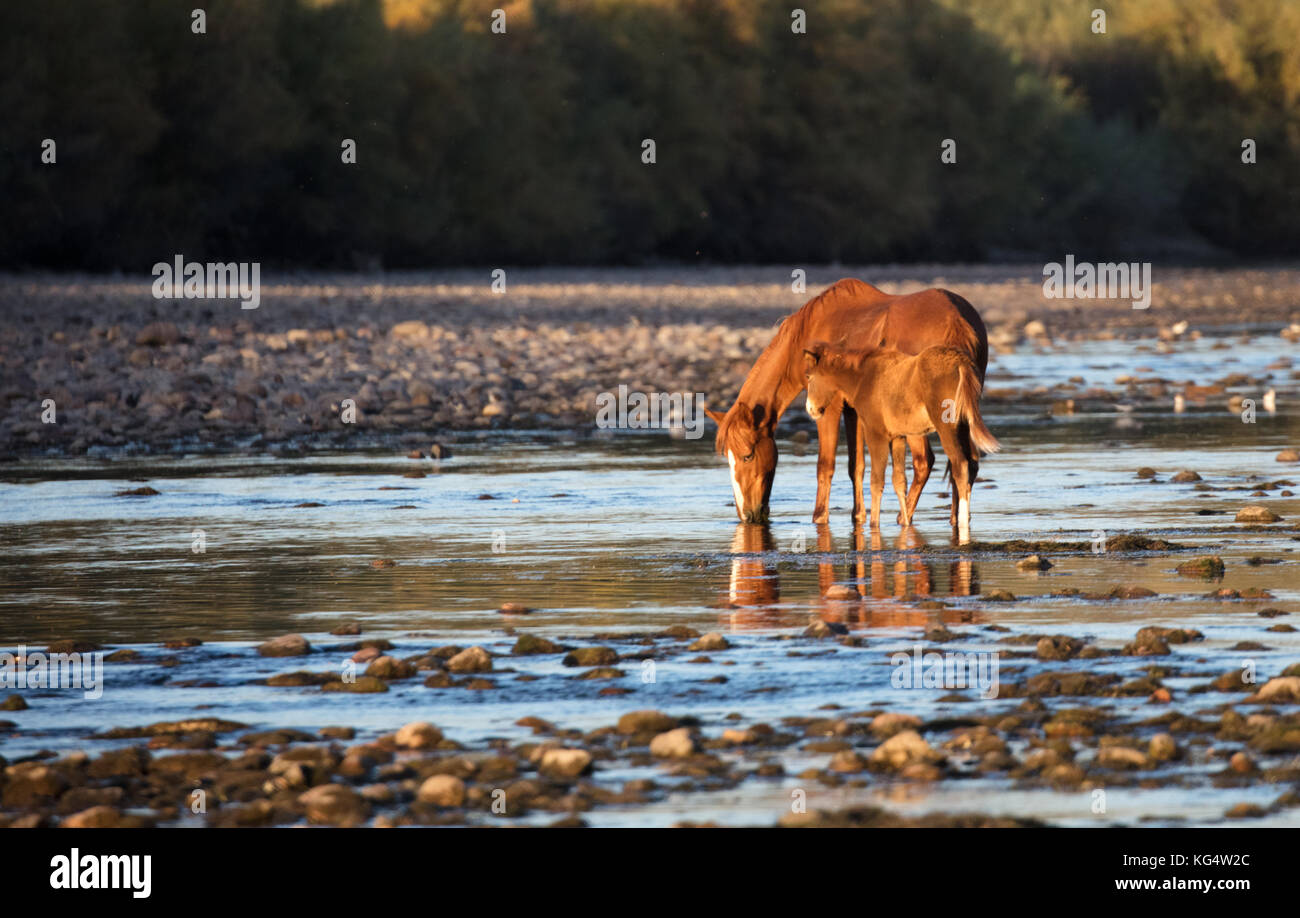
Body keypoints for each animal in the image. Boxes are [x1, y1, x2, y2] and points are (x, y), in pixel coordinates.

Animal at [707, 276, 987, 522]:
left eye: (747, 456)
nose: (746, 515)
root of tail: (956, 320)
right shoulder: (854, 410)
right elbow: (856, 466)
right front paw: (858, 516)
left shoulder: (829, 408)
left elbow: (825, 465)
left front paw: (819, 517)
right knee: (966, 463)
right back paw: (955, 518)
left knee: (925, 462)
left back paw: (903, 518)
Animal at [795, 343, 998, 543]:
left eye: (809, 376)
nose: (811, 409)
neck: (864, 378)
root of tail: (960, 363)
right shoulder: (898, 437)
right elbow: (899, 481)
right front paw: (906, 524)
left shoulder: (875, 434)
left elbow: (876, 481)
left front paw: (874, 524)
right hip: (963, 428)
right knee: (971, 465)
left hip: (947, 428)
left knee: (960, 466)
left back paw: (962, 525)